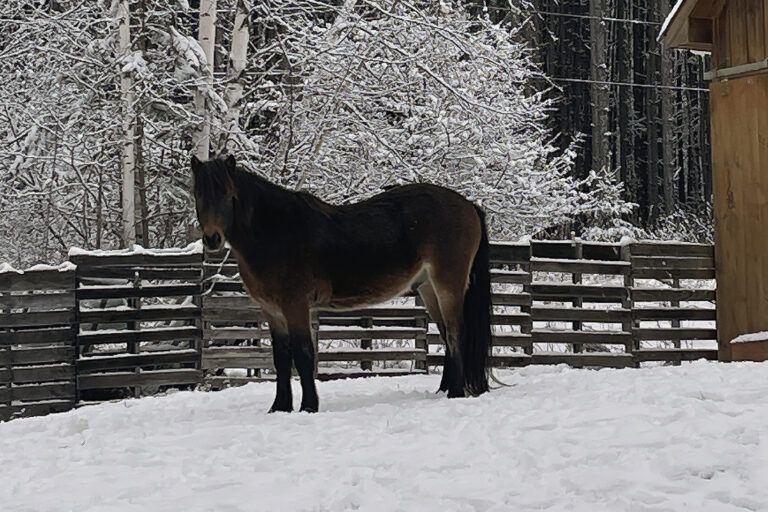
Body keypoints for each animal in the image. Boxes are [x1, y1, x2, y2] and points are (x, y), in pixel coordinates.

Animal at [191, 154, 492, 413]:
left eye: (228, 195)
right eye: (198, 194)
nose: (212, 239)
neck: (276, 233)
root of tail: (468, 205)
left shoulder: (295, 307)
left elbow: (303, 355)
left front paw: (309, 406)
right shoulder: (272, 311)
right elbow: (281, 359)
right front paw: (280, 407)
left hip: (448, 285)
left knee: (455, 333)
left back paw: (455, 392)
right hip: (428, 288)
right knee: (445, 333)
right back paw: (444, 389)